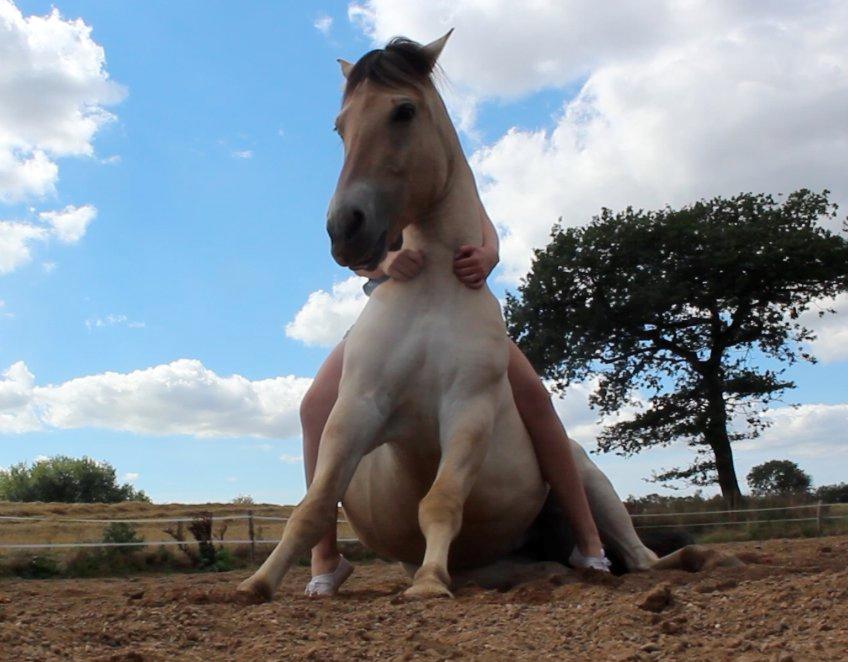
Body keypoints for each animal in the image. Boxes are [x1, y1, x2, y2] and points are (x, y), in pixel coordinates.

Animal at [237, 32, 736, 608]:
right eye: (341, 126)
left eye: (403, 111)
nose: (346, 230)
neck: (431, 292)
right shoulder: (358, 407)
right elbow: (312, 508)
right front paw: (257, 584)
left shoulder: (467, 409)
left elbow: (441, 500)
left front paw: (430, 582)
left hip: (588, 478)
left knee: (640, 558)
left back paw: (672, 560)